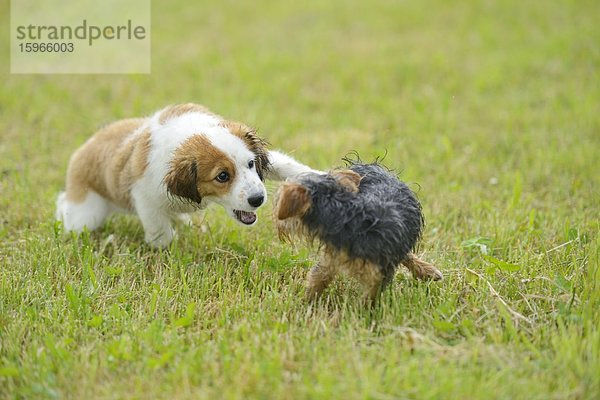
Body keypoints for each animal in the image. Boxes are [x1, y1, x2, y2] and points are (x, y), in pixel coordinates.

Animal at [56, 103, 318, 247]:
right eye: (222, 176)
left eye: (251, 163)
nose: (258, 199)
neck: (189, 135)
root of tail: (83, 148)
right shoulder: (145, 198)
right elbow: (161, 234)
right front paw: (165, 249)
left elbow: (286, 165)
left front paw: (317, 176)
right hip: (86, 214)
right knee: (67, 206)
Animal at [276, 160, 440, 304]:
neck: (347, 215)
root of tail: (372, 166)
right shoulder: (333, 257)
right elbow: (318, 279)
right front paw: (304, 303)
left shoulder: (378, 272)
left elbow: (369, 299)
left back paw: (428, 271)